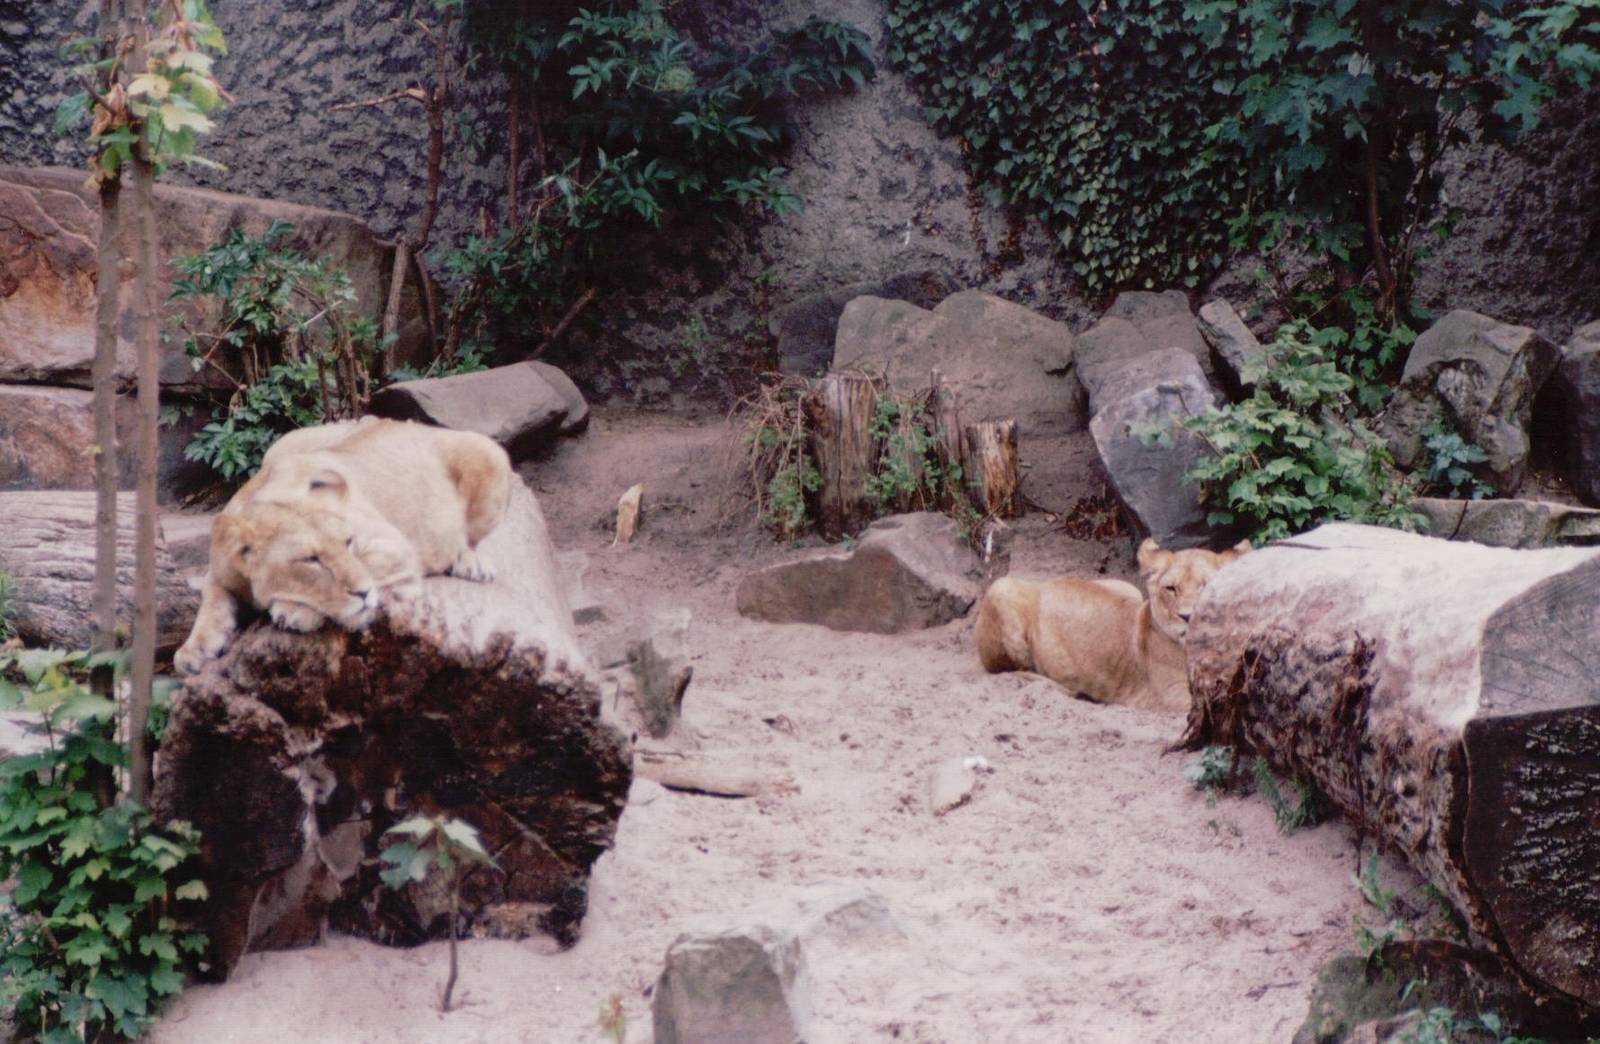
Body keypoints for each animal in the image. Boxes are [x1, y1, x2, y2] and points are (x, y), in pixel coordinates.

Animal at [174, 417, 512, 675]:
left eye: (349, 543)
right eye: (311, 559)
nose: (363, 594)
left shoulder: (394, 544)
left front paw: (294, 610)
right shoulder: (219, 570)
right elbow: (211, 605)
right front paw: (193, 650)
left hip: (487, 451)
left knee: (470, 539)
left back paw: (471, 563)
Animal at [973, 537, 1251, 712]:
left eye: (1207, 585)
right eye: (1171, 588)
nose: (1186, 616)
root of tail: (1043, 583)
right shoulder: (1170, 696)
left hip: (1125, 586)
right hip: (1002, 588)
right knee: (1005, 670)